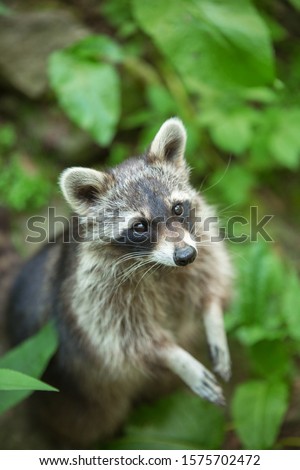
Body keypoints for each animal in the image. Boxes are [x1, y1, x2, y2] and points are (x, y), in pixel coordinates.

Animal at [4, 118, 232, 448]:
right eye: (139, 226)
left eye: (177, 208)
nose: (185, 256)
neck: (160, 267)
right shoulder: (92, 292)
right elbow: (126, 338)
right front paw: (175, 356)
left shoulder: (199, 240)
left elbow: (210, 278)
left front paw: (214, 317)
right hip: (72, 395)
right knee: (89, 424)